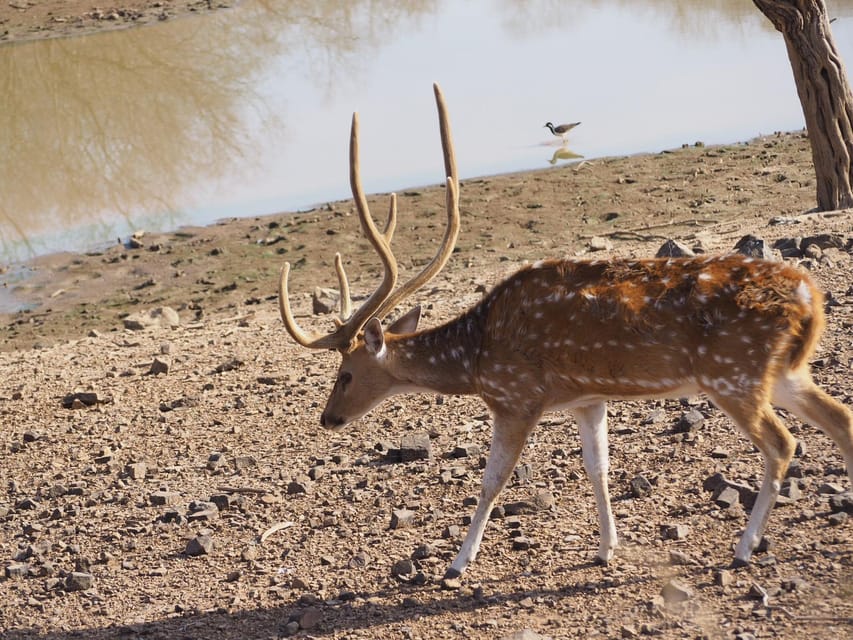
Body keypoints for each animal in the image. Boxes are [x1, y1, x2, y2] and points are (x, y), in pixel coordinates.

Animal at [280, 84, 852, 584]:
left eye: (345, 373)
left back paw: (743, 549)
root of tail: (811, 298)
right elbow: (597, 467)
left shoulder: (516, 397)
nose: (328, 419)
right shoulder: (586, 398)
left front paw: (457, 564)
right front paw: (605, 549)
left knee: (783, 443)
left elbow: (492, 481)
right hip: (784, 371)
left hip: (734, 375)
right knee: (840, 419)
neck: (476, 356)